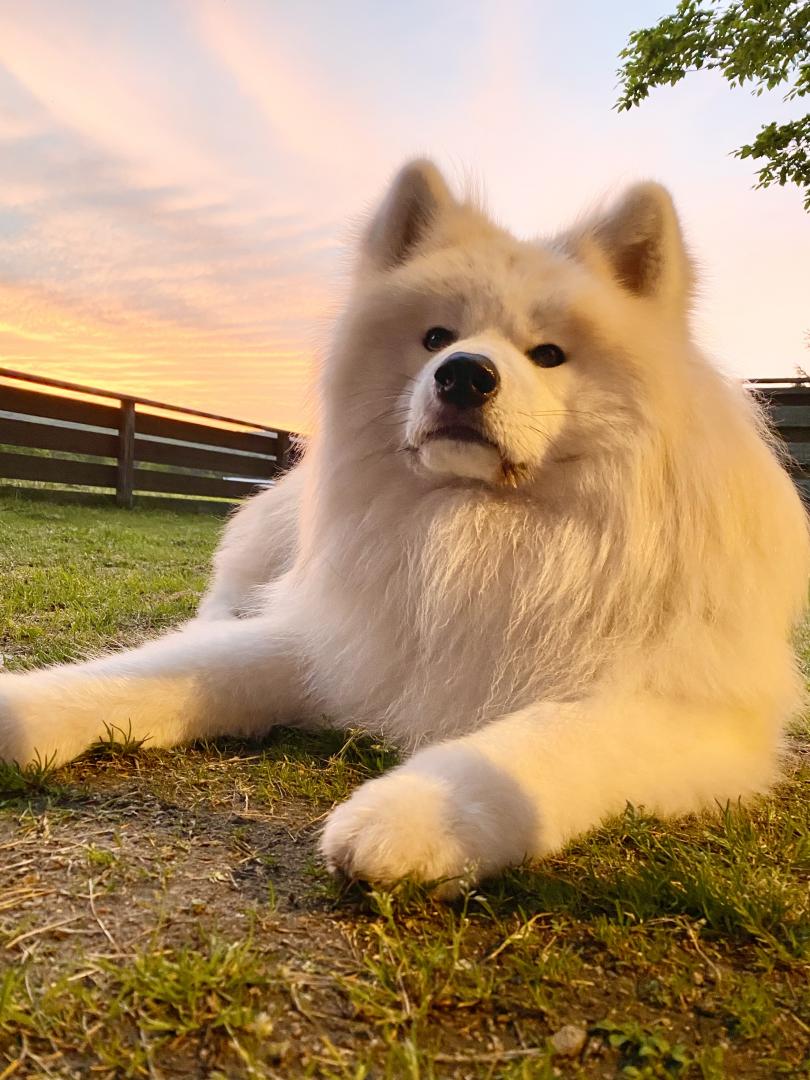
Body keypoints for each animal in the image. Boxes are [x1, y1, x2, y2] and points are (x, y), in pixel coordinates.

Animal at [1, 159, 810, 885]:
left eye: (548, 354)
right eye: (435, 337)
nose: (464, 374)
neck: (479, 529)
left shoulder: (688, 709)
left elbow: (543, 740)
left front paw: (414, 813)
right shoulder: (335, 638)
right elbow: (159, 671)